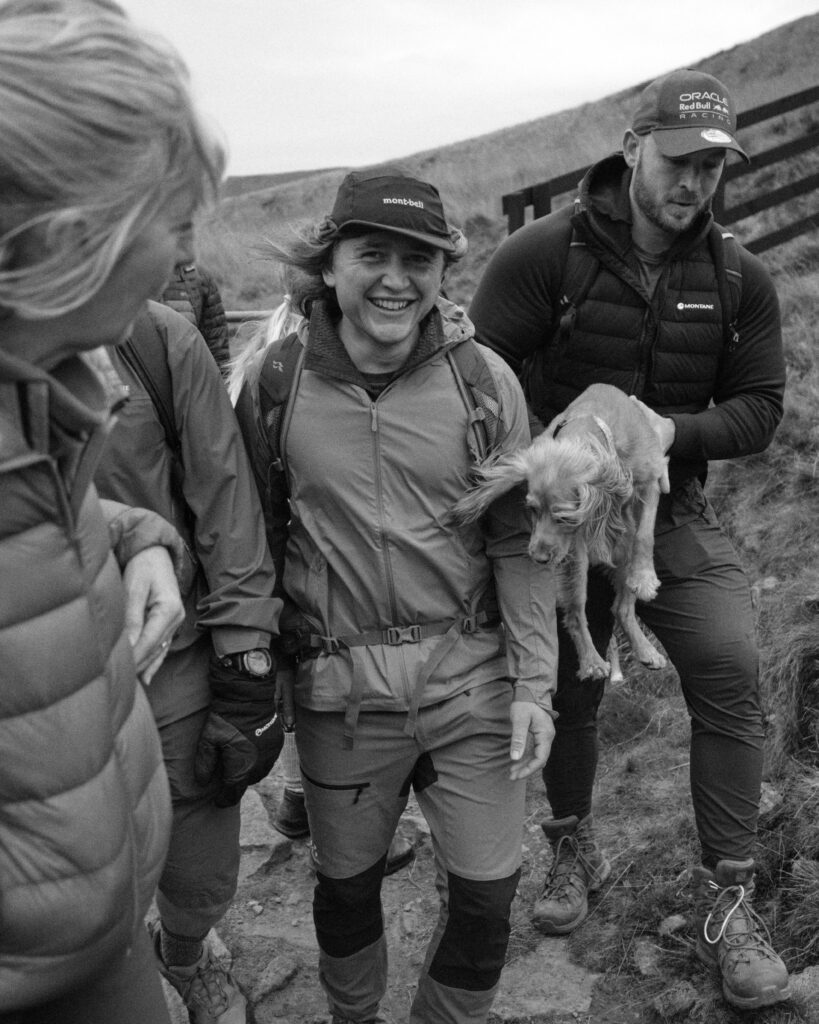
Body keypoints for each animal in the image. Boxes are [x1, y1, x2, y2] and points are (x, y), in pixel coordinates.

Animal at [455, 383, 670, 680]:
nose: (538, 558)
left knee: (622, 606)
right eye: (531, 509)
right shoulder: (573, 541)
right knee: (578, 610)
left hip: (616, 549)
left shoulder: (651, 481)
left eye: (564, 517)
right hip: (576, 561)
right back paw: (592, 661)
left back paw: (644, 648)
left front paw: (645, 576)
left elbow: (645, 535)